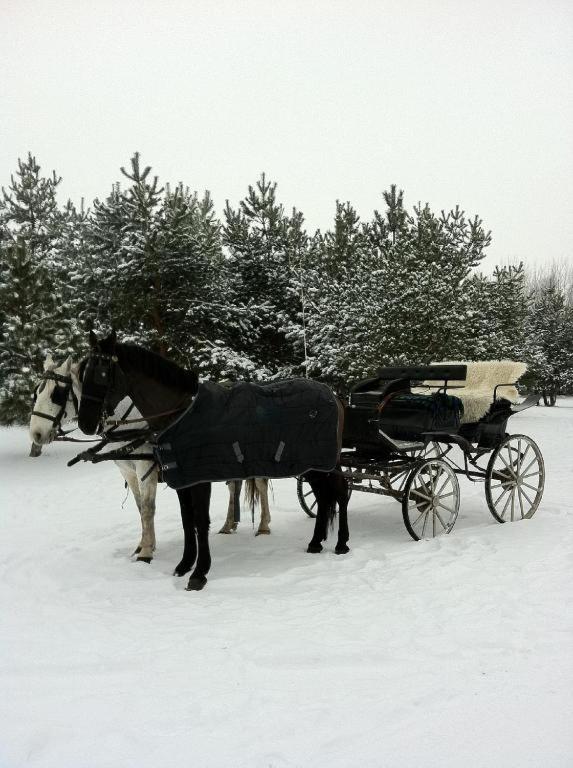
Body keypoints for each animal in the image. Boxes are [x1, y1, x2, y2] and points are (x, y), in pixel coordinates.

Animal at [28, 356, 272, 560]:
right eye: (36, 393)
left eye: (57, 394)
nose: (36, 434)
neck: (133, 423)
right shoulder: (127, 469)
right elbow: (139, 507)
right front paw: (145, 544)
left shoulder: (146, 466)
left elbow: (148, 507)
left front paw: (145, 552)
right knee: (233, 486)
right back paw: (229, 524)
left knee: (260, 483)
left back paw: (263, 526)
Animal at [76, 332, 348, 592]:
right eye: (83, 373)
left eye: (102, 374)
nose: (86, 424)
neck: (180, 414)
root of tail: (332, 395)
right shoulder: (181, 479)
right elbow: (187, 522)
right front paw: (184, 564)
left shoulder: (197, 478)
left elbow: (198, 521)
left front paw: (198, 573)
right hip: (313, 465)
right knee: (324, 497)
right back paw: (316, 542)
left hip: (324, 462)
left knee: (339, 493)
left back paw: (341, 543)